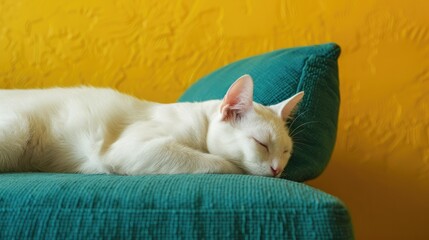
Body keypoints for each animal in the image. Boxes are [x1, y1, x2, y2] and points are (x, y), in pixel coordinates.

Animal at [0, 75, 300, 178]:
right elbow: (215, 162)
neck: (201, 123)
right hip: (16, 129)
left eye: (286, 152)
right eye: (261, 144)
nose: (278, 169)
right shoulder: (132, 147)